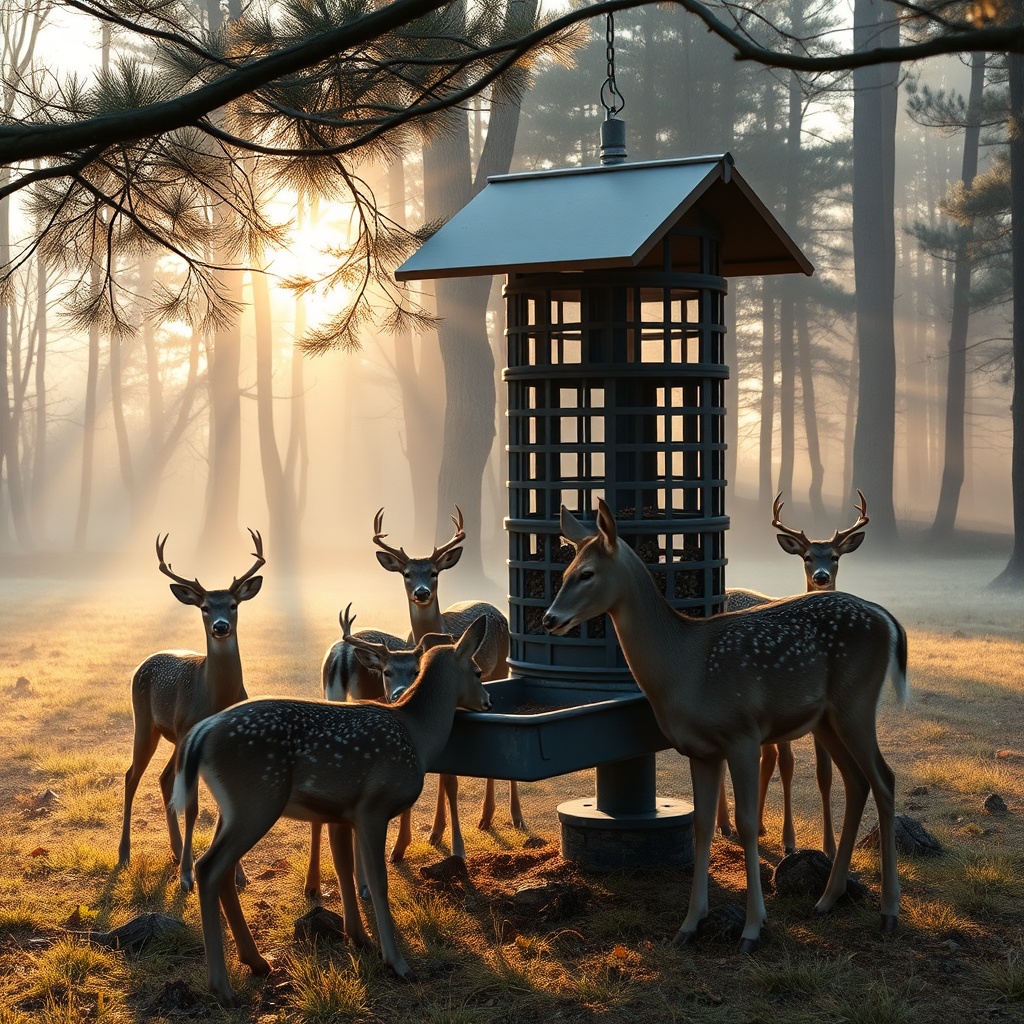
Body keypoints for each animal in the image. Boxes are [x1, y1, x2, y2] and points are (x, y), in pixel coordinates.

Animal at [118, 529, 264, 892]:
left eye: (233, 605)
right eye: (204, 607)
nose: (221, 626)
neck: (215, 696)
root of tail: (144, 662)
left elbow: (226, 808)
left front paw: (239, 876)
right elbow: (195, 807)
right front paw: (188, 876)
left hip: (176, 736)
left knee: (163, 778)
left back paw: (173, 851)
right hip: (148, 723)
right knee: (133, 776)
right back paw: (125, 855)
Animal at [304, 603, 425, 900]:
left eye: (416, 671)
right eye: (386, 672)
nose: (400, 694)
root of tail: (343, 654)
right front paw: (398, 850)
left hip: (331, 696)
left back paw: (312, 885)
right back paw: (363, 884)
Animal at [373, 504, 523, 854]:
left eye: (434, 572)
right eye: (406, 573)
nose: (422, 593)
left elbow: (450, 775)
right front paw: (429, 834)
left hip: (501, 668)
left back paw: (508, 816)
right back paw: (485, 818)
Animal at [720, 491, 870, 857]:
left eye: (834, 556)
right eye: (806, 556)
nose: (821, 577)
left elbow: (823, 772)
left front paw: (829, 845)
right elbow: (787, 766)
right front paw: (789, 841)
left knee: (765, 755)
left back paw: (755, 825)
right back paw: (727, 824)